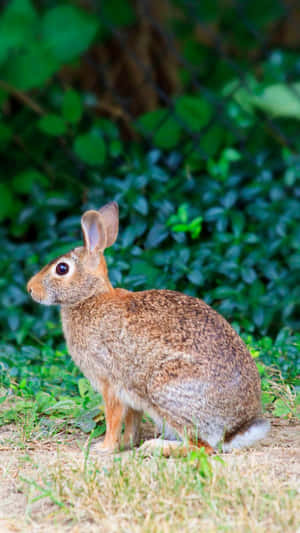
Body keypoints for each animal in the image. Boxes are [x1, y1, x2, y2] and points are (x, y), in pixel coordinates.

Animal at [27, 202, 270, 456]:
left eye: (62, 268)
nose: (30, 289)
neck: (90, 297)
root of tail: (235, 430)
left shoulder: (110, 383)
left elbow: (113, 418)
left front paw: (103, 448)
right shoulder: (131, 395)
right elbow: (131, 421)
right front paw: (125, 444)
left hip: (164, 390)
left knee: (200, 447)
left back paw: (155, 447)